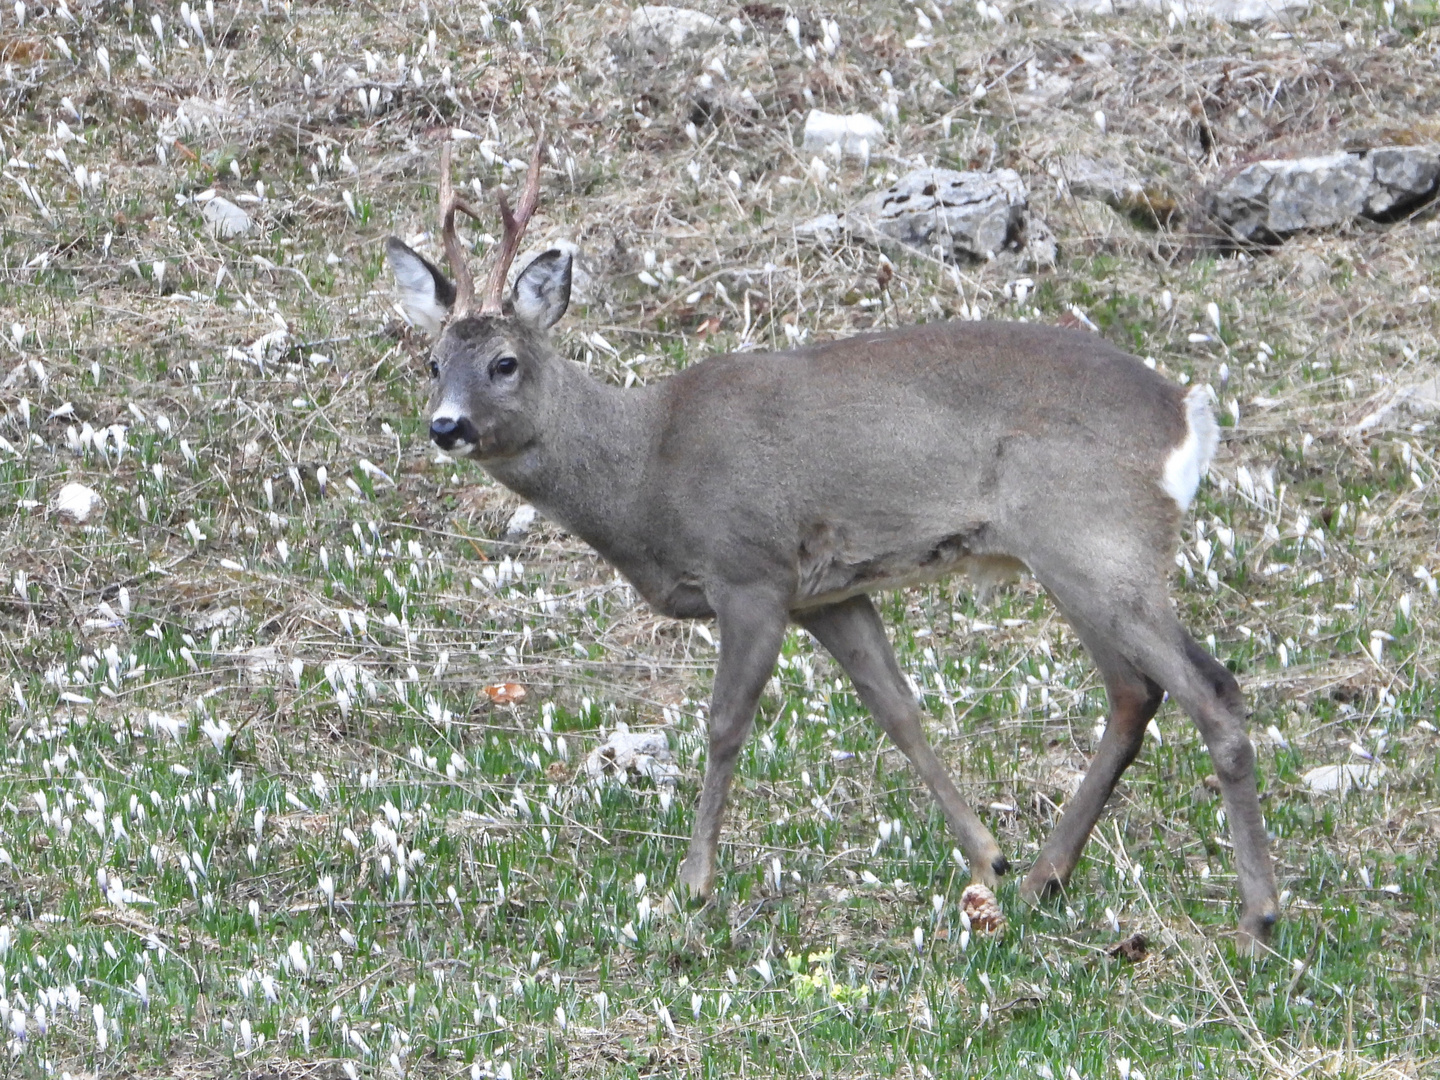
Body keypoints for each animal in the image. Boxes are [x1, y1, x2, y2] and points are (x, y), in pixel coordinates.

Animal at [385, 139, 1284, 950]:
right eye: (431, 362)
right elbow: (899, 711)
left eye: (504, 362)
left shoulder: (750, 570)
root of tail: (1186, 414)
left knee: (1210, 690)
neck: (648, 471)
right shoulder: (830, 594)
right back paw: (1043, 878)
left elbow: (725, 724)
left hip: (1091, 536)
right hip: (1088, 554)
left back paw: (1257, 919)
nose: (446, 427)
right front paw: (986, 858)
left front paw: (694, 883)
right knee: (1136, 693)